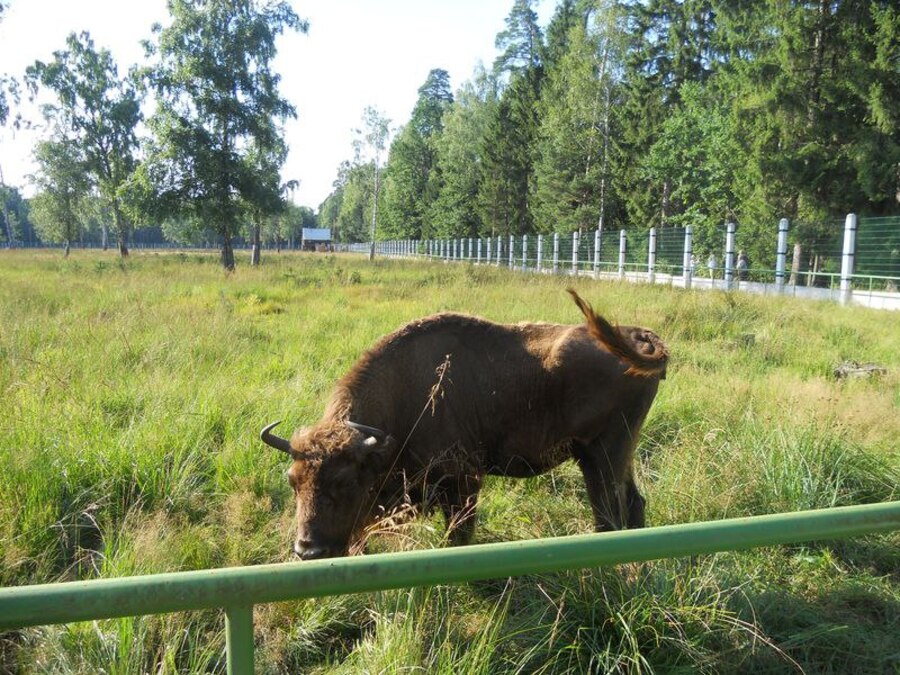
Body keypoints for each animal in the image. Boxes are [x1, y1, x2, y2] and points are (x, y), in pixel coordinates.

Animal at [260, 290, 668, 560]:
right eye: (293, 481)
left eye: (345, 481)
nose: (307, 550)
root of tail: (642, 338)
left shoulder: (462, 482)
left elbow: (458, 535)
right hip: (615, 456)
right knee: (632, 504)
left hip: (602, 456)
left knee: (610, 513)